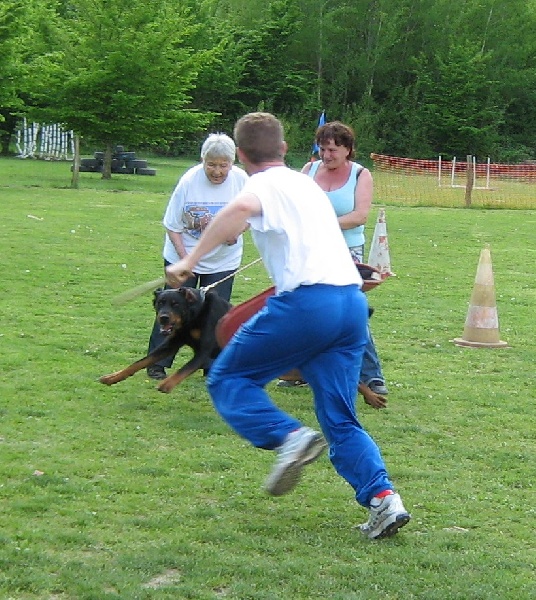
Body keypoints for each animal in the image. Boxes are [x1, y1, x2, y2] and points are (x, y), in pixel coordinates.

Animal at [99, 287, 231, 393]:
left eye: (176, 304)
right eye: (160, 303)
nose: (163, 317)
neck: (193, 316)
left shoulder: (203, 352)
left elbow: (184, 369)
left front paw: (166, 384)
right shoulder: (170, 345)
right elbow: (140, 362)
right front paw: (112, 377)